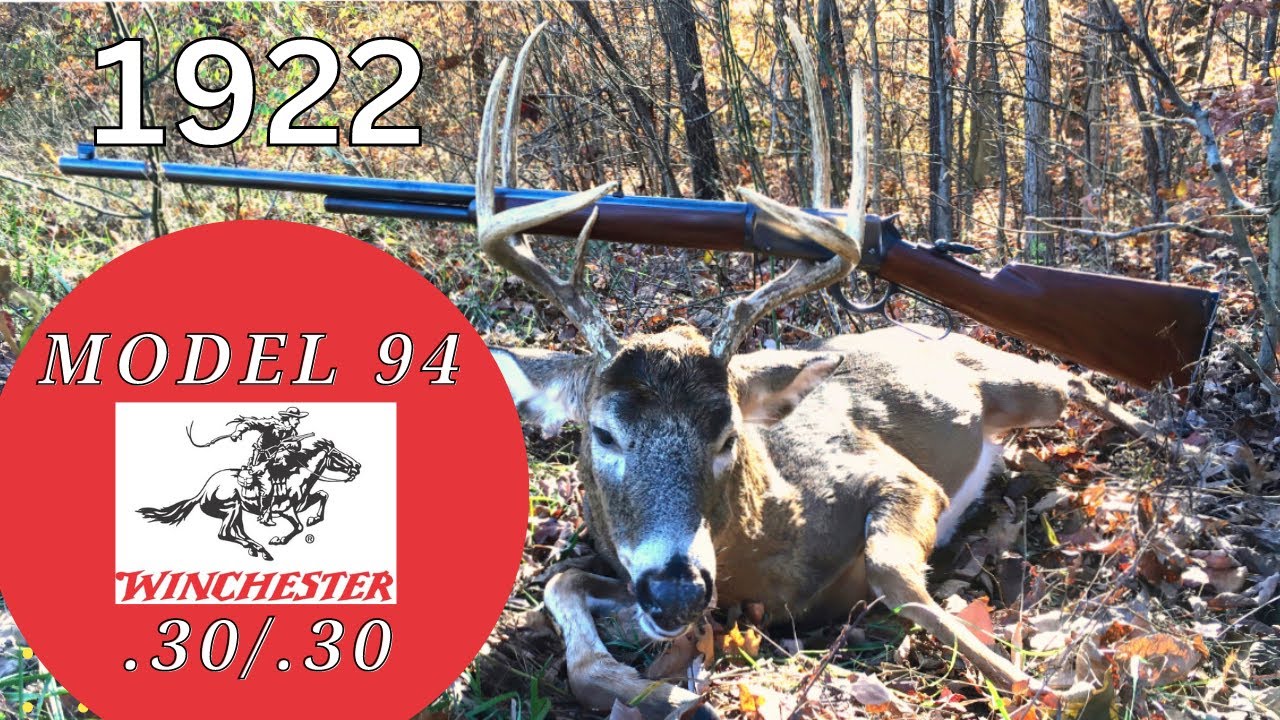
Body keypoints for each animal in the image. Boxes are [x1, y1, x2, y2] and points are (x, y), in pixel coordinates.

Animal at [474, 21, 1132, 719]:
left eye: (728, 434)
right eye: (603, 433)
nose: (678, 592)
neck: (769, 539)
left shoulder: (902, 478)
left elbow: (892, 573)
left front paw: (1055, 684)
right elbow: (563, 586)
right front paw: (671, 695)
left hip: (1024, 383)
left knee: (1076, 379)